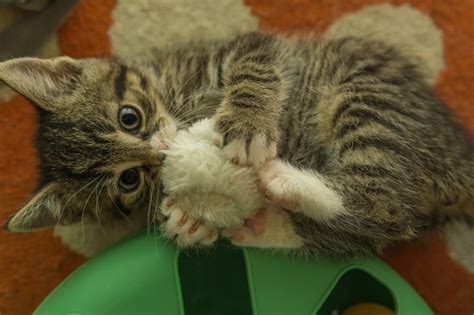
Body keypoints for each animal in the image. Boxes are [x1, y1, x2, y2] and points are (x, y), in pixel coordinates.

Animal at [1, 32, 472, 258]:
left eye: (128, 118)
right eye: (129, 180)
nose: (162, 151)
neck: (174, 90)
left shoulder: (250, 46)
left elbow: (253, 65)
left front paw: (248, 124)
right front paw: (185, 223)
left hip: (365, 93)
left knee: (385, 207)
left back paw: (281, 180)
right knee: (381, 226)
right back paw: (268, 221)